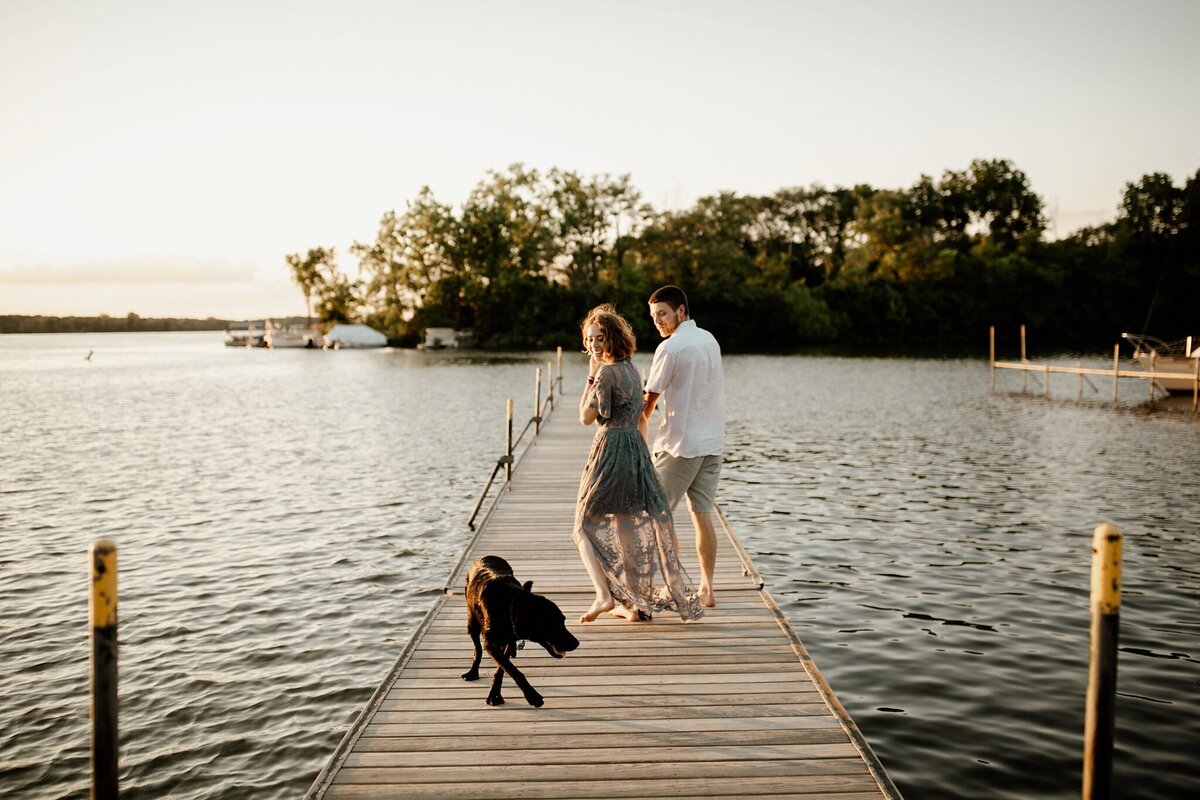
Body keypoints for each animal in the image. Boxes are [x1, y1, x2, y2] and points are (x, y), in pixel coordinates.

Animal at [458, 556, 580, 705]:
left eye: (563, 620)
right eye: (552, 625)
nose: (576, 643)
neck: (509, 604)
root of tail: (486, 557)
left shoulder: (507, 640)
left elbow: (502, 669)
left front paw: (495, 694)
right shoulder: (491, 644)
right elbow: (512, 670)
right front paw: (532, 696)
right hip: (472, 622)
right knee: (478, 649)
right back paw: (473, 672)